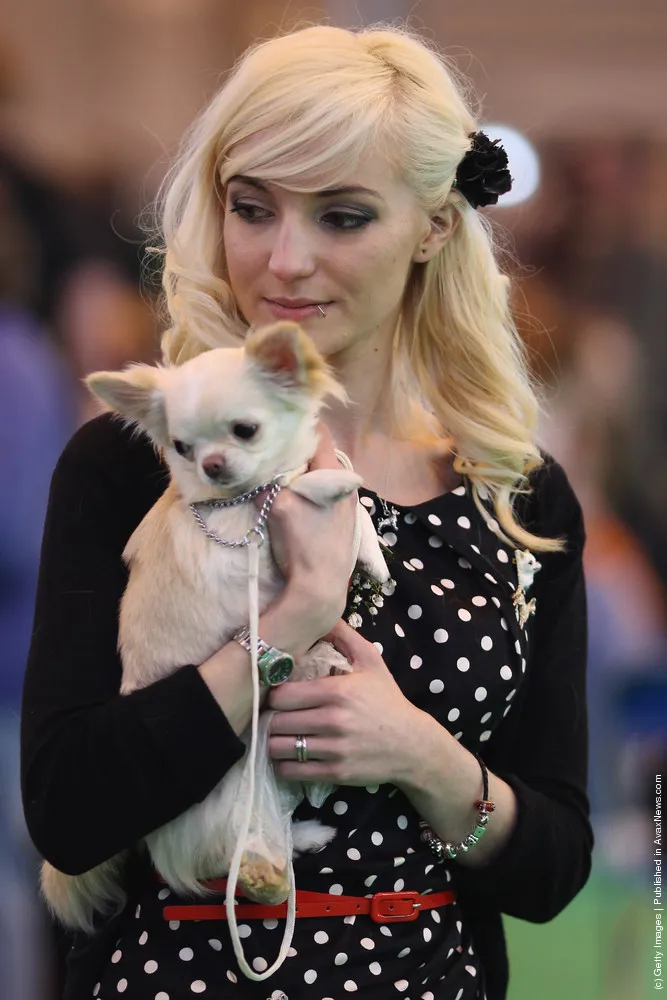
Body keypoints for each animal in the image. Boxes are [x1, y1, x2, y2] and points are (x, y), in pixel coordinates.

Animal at [39, 322, 388, 936]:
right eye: (181, 447)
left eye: (245, 430)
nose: (214, 465)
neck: (246, 491)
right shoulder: (254, 527)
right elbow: (300, 489)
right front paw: (336, 481)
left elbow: (349, 512)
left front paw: (373, 555)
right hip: (225, 794)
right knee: (228, 859)